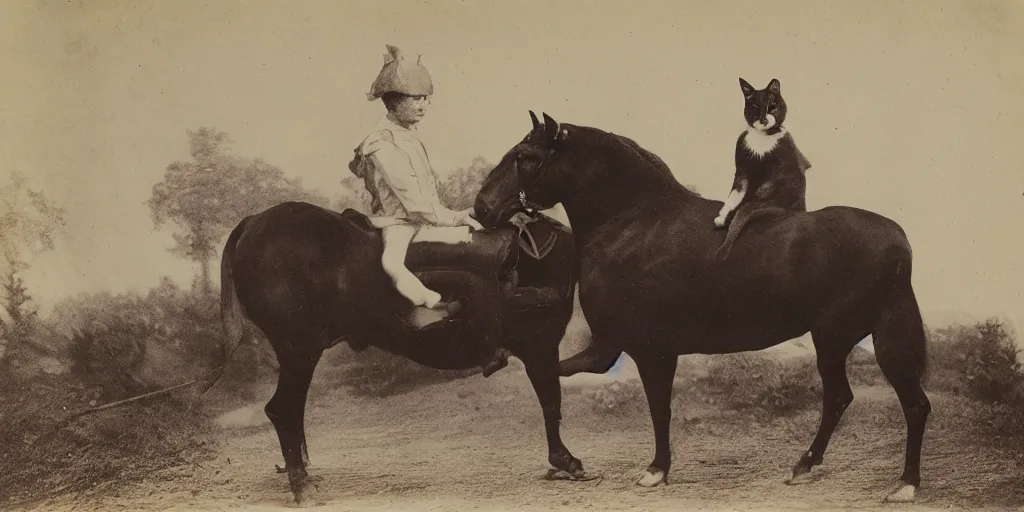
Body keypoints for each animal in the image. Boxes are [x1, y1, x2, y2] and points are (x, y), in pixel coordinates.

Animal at [215, 199, 585, 503]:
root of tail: (254, 222)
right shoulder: (541, 347)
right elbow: (551, 403)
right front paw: (565, 461)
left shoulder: (541, 349)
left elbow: (551, 402)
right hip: (299, 349)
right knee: (282, 410)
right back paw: (302, 487)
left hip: (299, 353)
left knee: (291, 410)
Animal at [471, 113, 929, 503]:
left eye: (526, 157)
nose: (481, 208)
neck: (633, 223)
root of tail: (898, 240)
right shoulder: (615, 348)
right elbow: (557, 379)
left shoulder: (646, 351)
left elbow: (653, 406)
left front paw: (653, 471)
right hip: (846, 339)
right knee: (847, 400)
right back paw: (805, 467)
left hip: (847, 339)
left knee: (905, 404)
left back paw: (904, 485)